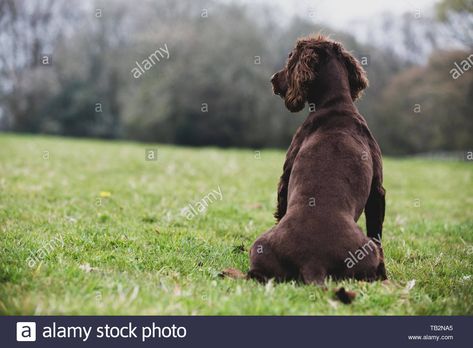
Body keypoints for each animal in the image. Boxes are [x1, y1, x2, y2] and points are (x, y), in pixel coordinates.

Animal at [249, 35, 386, 286]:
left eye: (290, 58)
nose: (272, 78)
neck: (336, 104)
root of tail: (313, 262)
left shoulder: (285, 177)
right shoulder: (378, 189)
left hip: (259, 247)